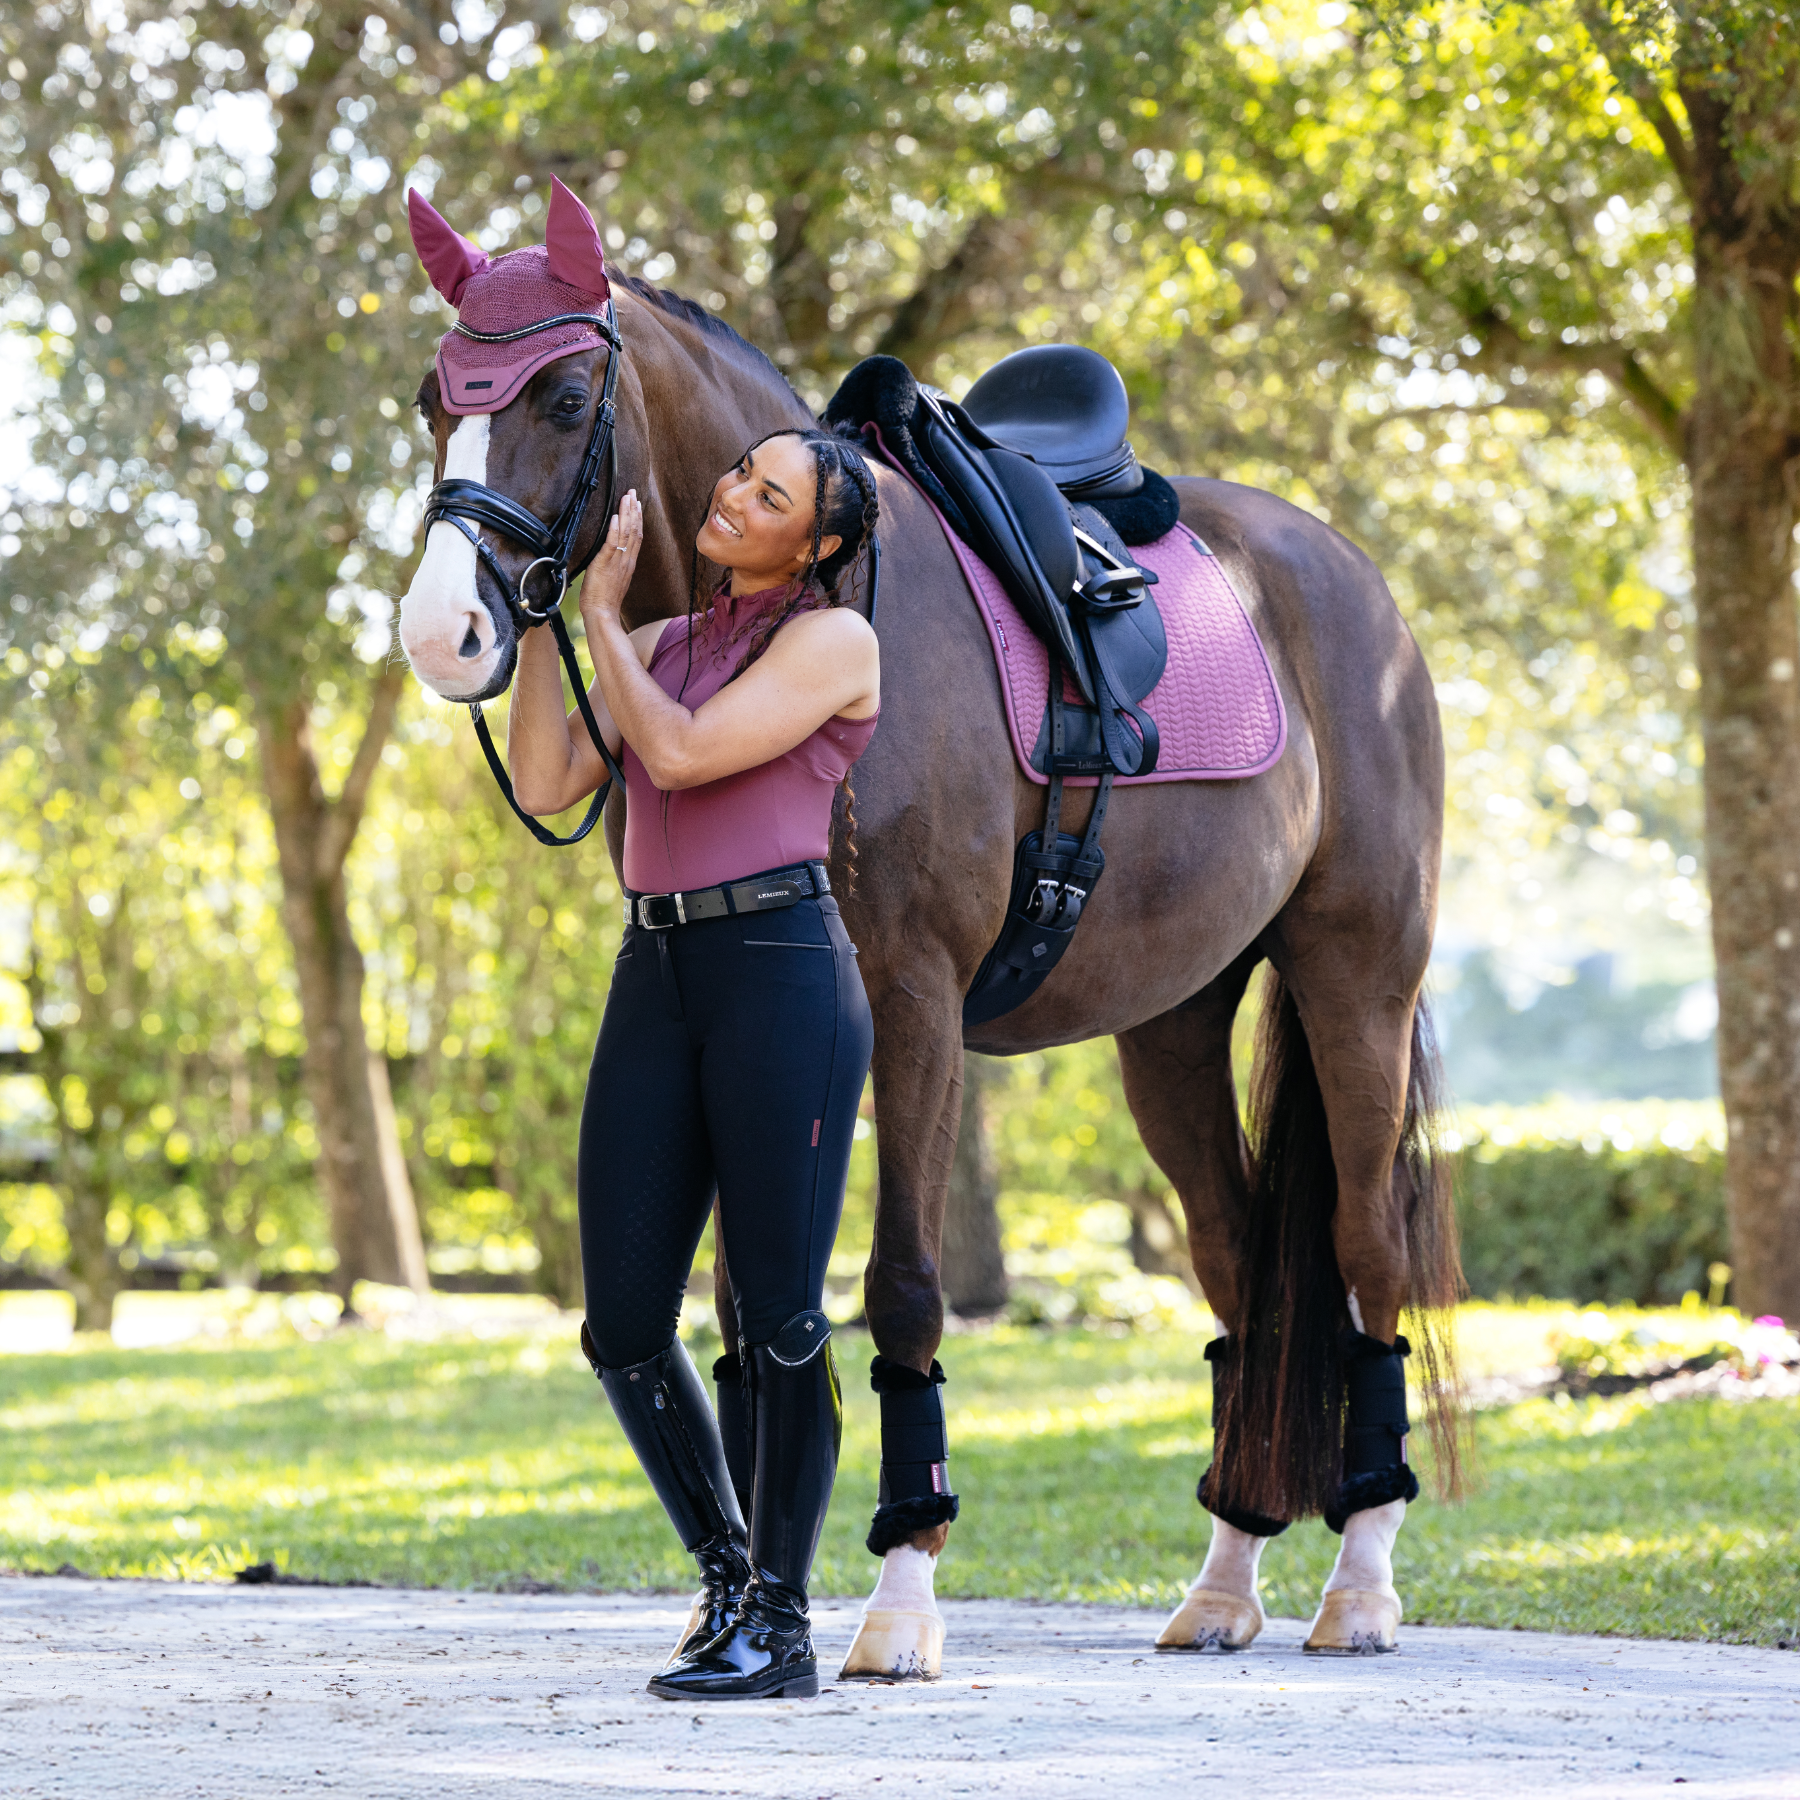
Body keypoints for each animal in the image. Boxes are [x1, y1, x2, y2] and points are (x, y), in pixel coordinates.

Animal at [397, 182, 1461, 1670]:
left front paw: (899, 1597)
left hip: (1353, 977)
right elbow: (745, 1324)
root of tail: (1353, 585)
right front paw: (741, 1609)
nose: (441, 629)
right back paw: (1225, 1580)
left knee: (1366, 1254)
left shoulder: (908, 1004)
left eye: (559, 396)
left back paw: (1358, 1579)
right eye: (437, 400)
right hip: (1173, 1027)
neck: (833, 603)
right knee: (1240, 1265)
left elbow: (899, 1284)